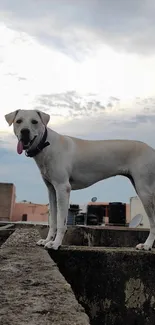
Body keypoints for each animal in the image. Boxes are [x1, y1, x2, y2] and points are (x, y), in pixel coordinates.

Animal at [4, 107, 155, 249]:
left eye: (34, 121)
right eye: (18, 121)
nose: (24, 132)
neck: (46, 144)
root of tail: (151, 149)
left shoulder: (62, 188)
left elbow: (61, 222)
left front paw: (56, 243)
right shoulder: (52, 191)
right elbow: (53, 220)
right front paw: (47, 240)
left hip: (144, 191)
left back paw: (147, 245)